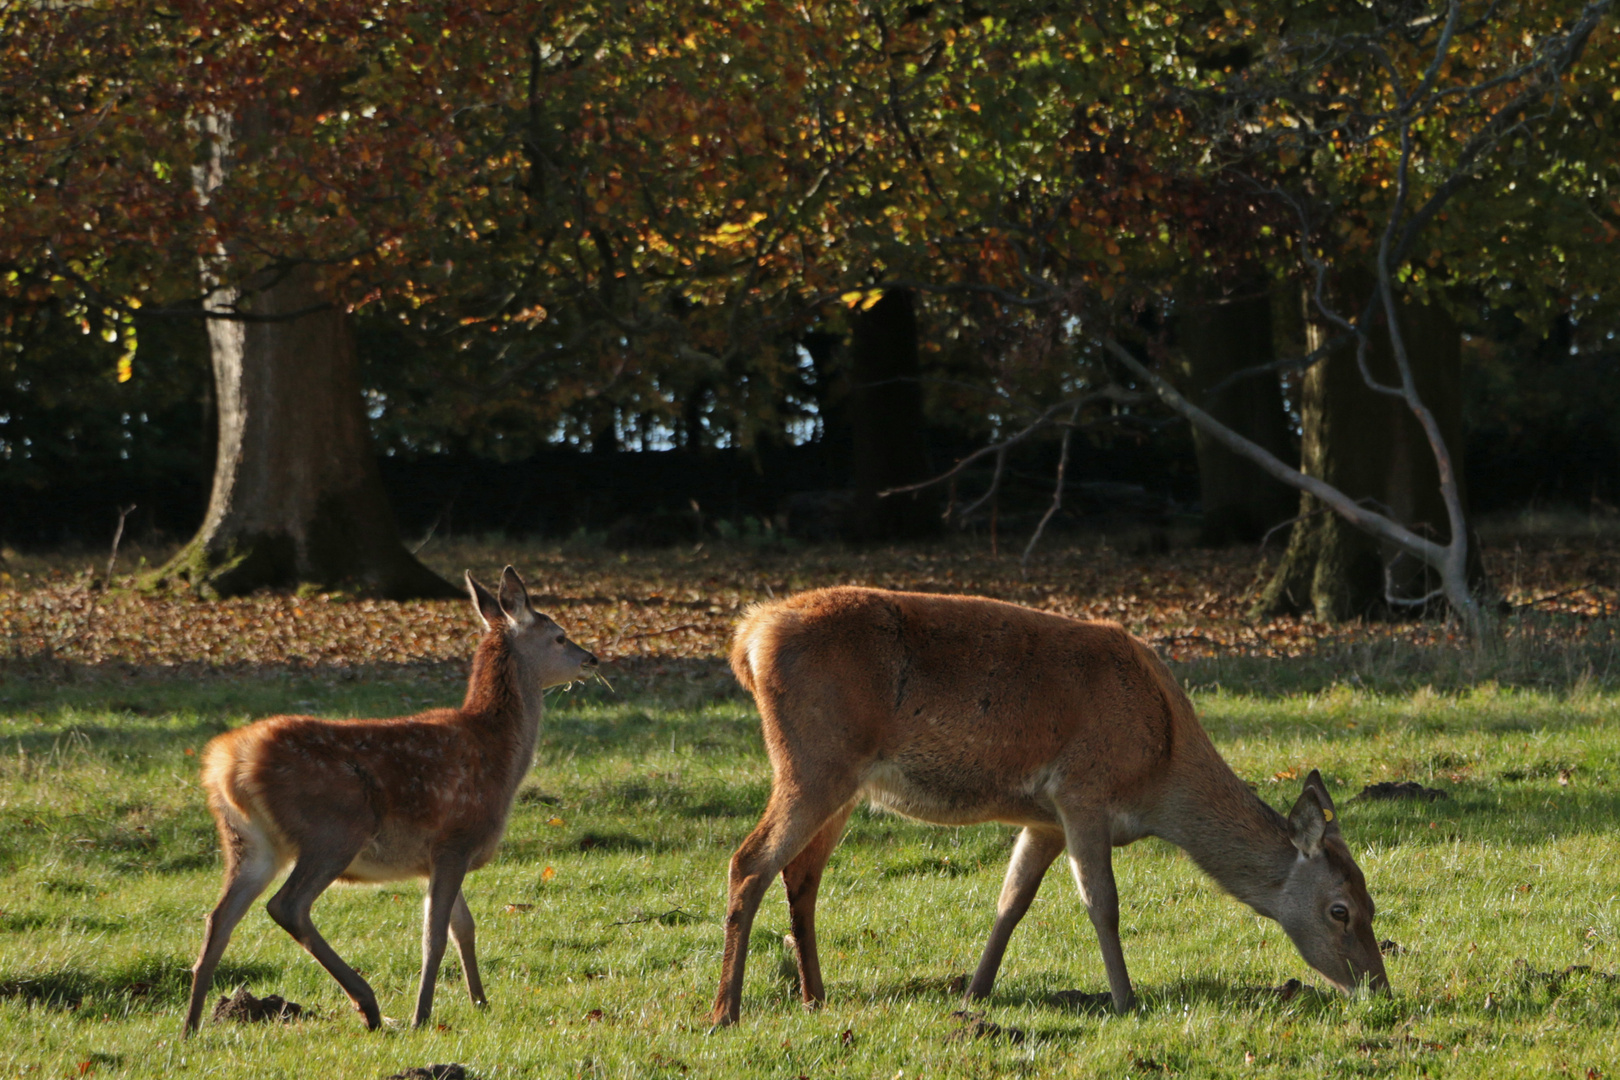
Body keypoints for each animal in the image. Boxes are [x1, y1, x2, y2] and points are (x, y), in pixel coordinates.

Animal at [183, 569, 599, 1036]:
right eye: (560, 636)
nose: (592, 659)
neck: (499, 756)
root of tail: (226, 765)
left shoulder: (436, 855)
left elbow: (463, 927)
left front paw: (480, 1002)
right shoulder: (456, 838)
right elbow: (434, 935)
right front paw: (423, 1015)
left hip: (249, 843)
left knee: (219, 918)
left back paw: (192, 1026)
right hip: (334, 827)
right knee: (287, 905)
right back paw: (369, 1004)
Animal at [712, 586, 1393, 1029]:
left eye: (1372, 901)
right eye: (1339, 909)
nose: (1379, 989)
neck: (1160, 772)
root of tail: (749, 638)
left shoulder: (1043, 819)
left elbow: (1011, 901)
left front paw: (976, 992)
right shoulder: (1082, 793)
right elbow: (1103, 903)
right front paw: (1126, 1002)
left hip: (844, 783)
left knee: (800, 874)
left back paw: (815, 998)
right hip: (813, 762)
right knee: (750, 861)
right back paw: (725, 1012)